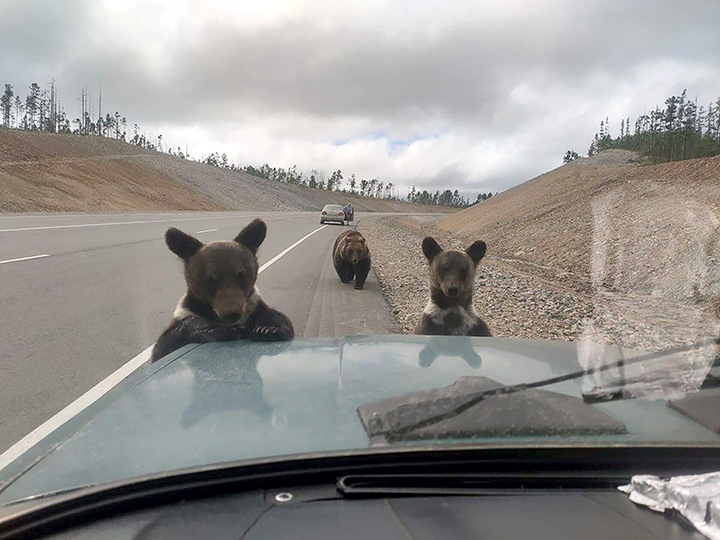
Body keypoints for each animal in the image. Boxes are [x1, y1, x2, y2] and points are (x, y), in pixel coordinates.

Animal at [150, 218, 294, 362]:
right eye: (211, 279)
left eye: (241, 275)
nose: (232, 313)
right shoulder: (186, 311)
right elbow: (165, 344)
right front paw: (220, 330)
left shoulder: (255, 307)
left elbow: (279, 319)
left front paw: (268, 330)